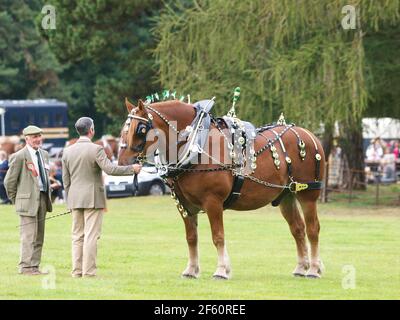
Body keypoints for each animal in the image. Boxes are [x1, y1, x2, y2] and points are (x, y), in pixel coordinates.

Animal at [119, 99, 324, 278]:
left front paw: (221, 270)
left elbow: (218, 236)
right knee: (298, 229)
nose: (122, 162)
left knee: (313, 229)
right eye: (124, 129)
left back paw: (314, 269)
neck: (195, 145)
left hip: (308, 194)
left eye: (141, 129)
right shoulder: (184, 205)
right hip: (287, 195)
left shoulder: (213, 202)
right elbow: (191, 237)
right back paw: (301, 267)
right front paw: (191, 270)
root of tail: (309, 135)